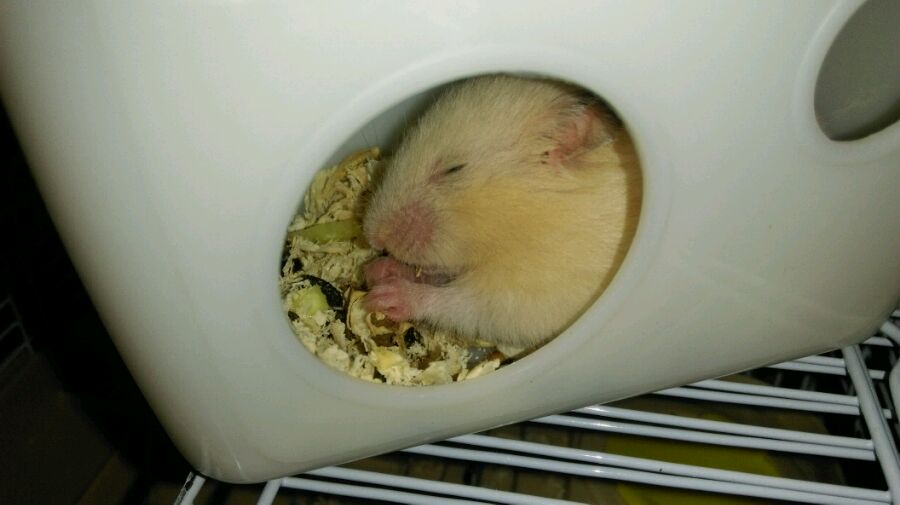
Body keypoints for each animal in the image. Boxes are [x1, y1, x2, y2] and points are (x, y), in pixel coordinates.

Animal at [362, 74, 641, 348]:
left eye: (454, 169)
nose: (373, 238)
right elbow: (437, 275)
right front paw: (378, 270)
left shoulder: (527, 294)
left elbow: (458, 303)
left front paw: (383, 297)